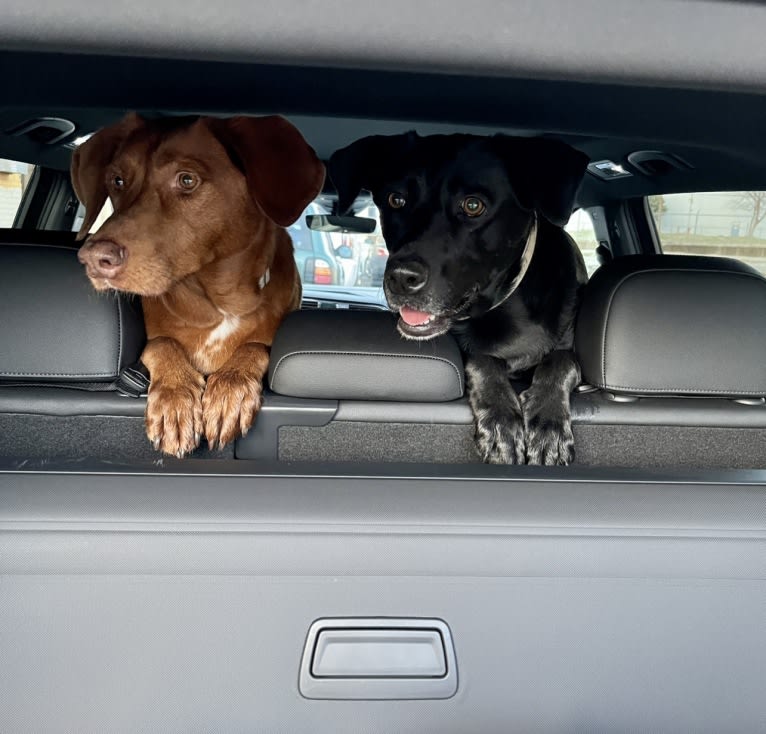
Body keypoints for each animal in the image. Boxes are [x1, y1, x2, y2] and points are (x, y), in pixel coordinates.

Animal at [73, 113, 324, 458]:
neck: (218, 302)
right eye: (118, 180)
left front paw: (230, 389)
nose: (93, 258)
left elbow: (255, 346)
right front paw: (175, 398)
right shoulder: (158, 338)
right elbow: (162, 343)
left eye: (187, 180)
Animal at [328, 133, 588, 466]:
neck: (506, 307)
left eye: (473, 205)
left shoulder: (567, 343)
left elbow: (561, 361)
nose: (400, 278)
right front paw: (501, 420)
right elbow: (481, 358)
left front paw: (549, 424)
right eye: (396, 200)